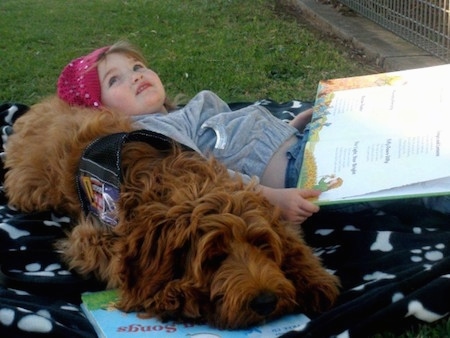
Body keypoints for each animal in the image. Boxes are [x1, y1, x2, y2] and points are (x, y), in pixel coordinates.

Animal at [3, 96, 340, 328]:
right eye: (213, 257)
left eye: (262, 245)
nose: (266, 301)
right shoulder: (94, 237)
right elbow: (125, 268)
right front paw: (178, 295)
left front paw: (311, 277)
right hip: (32, 188)